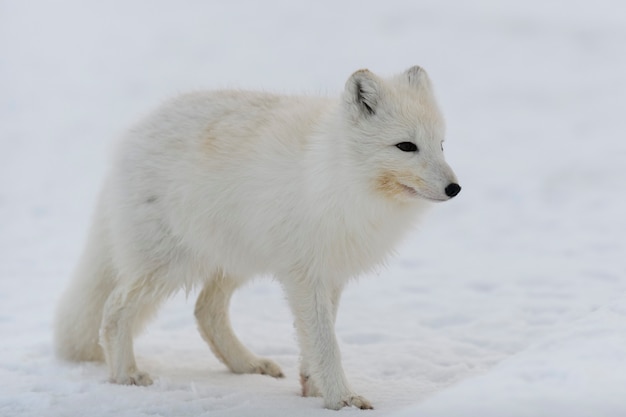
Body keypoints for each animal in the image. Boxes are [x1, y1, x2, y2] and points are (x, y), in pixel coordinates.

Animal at [54, 66, 458, 408]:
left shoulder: (331, 273)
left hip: (233, 261)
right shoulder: (305, 275)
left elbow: (313, 339)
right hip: (170, 265)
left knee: (205, 311)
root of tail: (133, 135)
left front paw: (313, 388)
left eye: (441, 145)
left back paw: (246, 365)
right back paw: (125, 376)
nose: (455, 188)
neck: (340, 179)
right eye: (406, 146)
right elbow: (325, 342)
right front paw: (341, 399)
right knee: (115, 309)